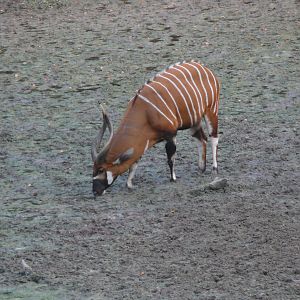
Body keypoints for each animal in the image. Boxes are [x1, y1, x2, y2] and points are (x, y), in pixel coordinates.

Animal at [91, 61, 220, 197]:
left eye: (101, 169)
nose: (95, 191)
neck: (144, 111)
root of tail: (204, 68)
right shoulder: (143, 142)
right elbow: (134, 162)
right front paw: (129, 184)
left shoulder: (171, 134)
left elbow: (170, 158)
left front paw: (173, 178)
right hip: (194, 121)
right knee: (202, 139)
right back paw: (201, 168)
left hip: (211, 110)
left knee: (213, 137)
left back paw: (214, 169)